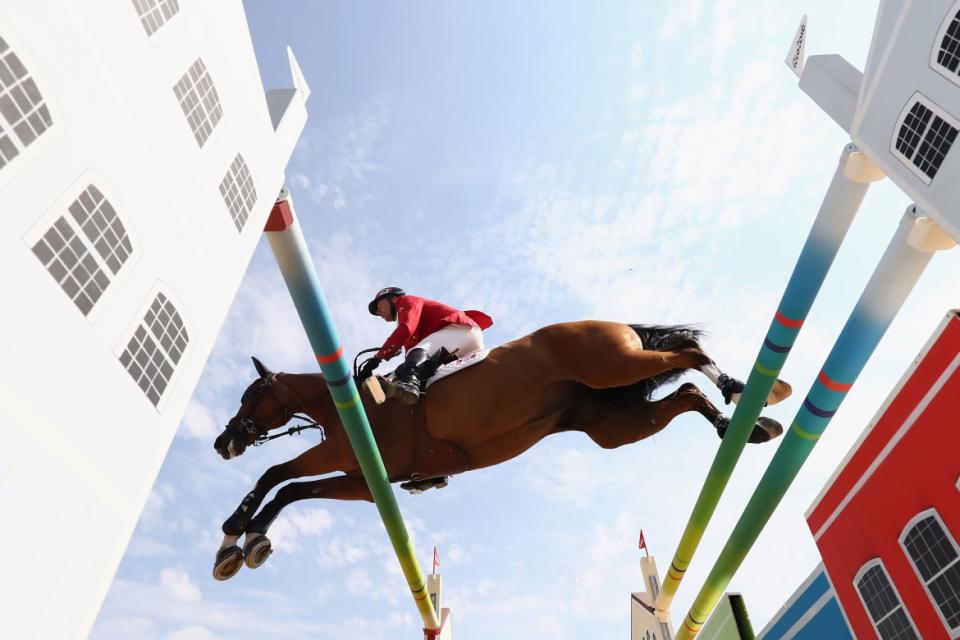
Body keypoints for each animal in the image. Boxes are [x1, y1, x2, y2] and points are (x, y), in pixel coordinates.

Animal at [214, 320, 792, 580]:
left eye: (250, 395)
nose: (223, 443)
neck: (342, 404)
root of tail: (612, 323)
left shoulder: (350, 464)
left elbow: (276, 475)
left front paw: (236, 530)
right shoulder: (363, 481)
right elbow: (292, 491)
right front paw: (249, 543)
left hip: (613, 364)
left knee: (689, 352)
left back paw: (746, 392)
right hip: (614, 424)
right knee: (687, 393)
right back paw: (746, 424)